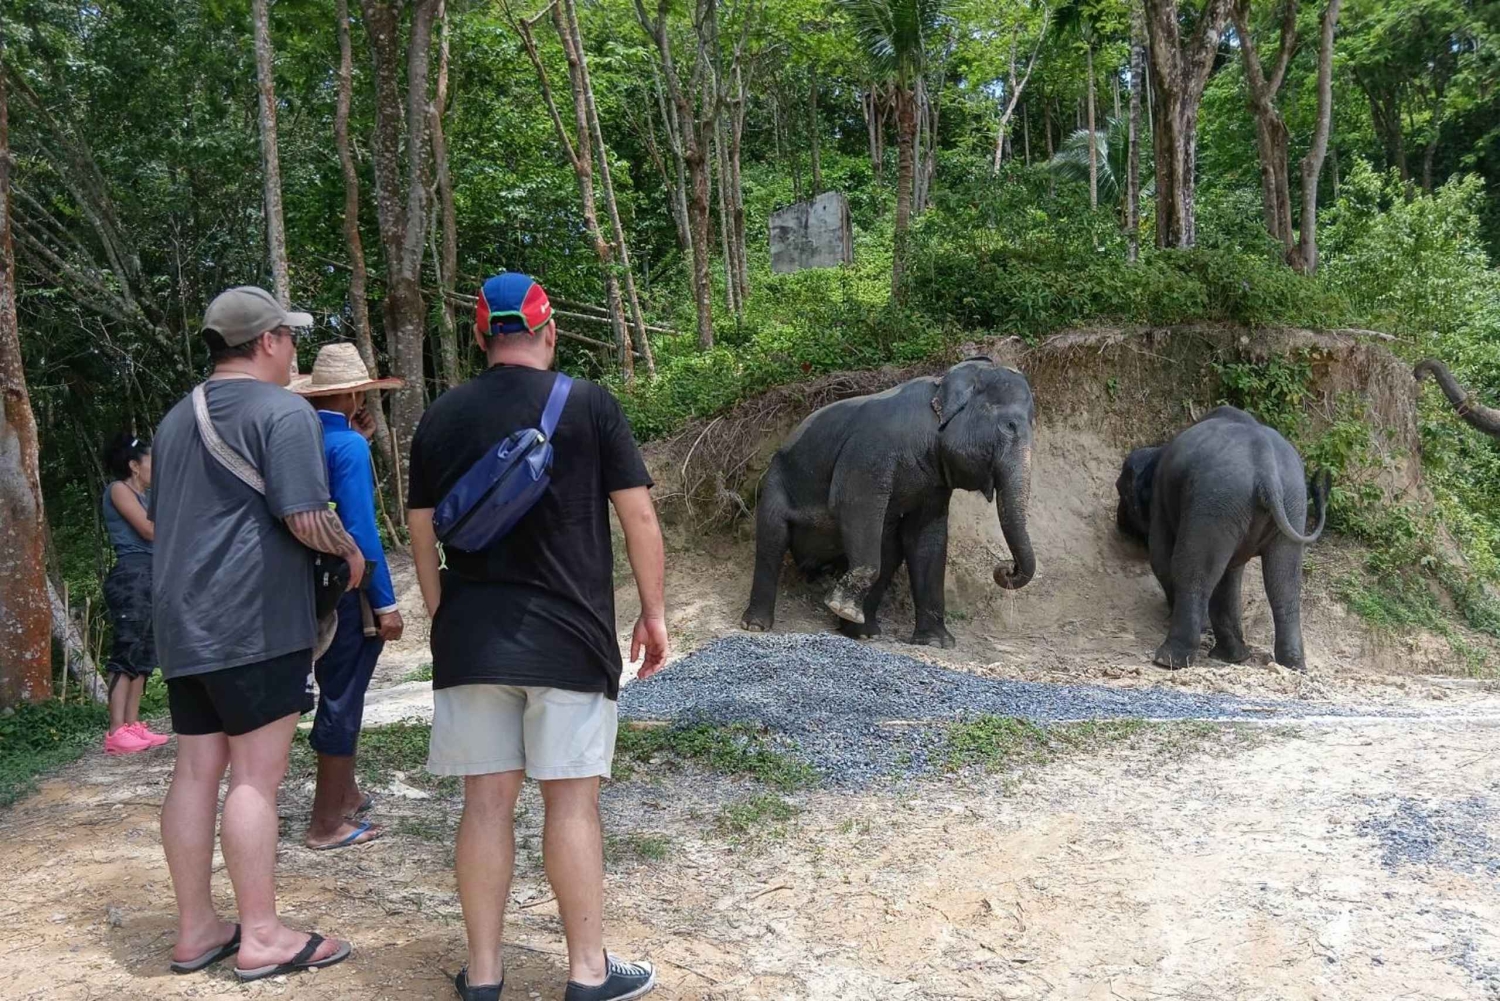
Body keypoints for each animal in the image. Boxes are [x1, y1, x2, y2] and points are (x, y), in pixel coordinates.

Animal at [740, 357, 1037, 648]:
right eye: (1010, 426)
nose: (1007, 568)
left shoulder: (935, 484)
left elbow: (925, 536)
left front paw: (936, 642)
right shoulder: (869, 452)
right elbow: (852, 507)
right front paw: (841, 606)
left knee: (889, 549)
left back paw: (862, 633)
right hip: (777, 481)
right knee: (772, 539)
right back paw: (756, 625)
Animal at [1115, 405, 1331, 671]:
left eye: (1122, 491)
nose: (1119, 524)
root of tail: (1266, 469)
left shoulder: (1161, 499)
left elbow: (1161, 557)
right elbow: (1230, 574)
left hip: (1217, 498)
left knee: (1192, 569)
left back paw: (1167, 660)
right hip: (1289, 503)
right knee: (1283, 581)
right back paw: (1288, 664)